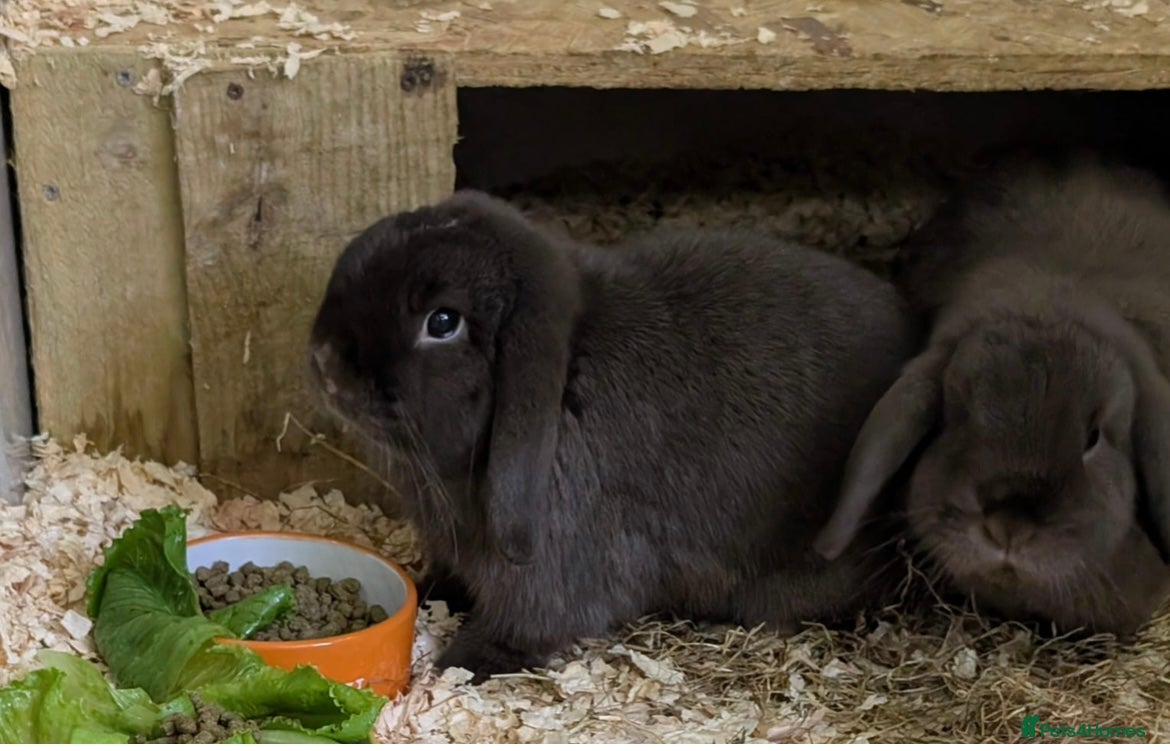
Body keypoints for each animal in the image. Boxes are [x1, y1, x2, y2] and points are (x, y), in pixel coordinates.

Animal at [307, 189, 921, 682]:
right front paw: (430, 593)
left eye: (442, 322)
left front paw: (460, 665)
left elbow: (524, 622)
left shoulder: (551, 566)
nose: (326, 366)